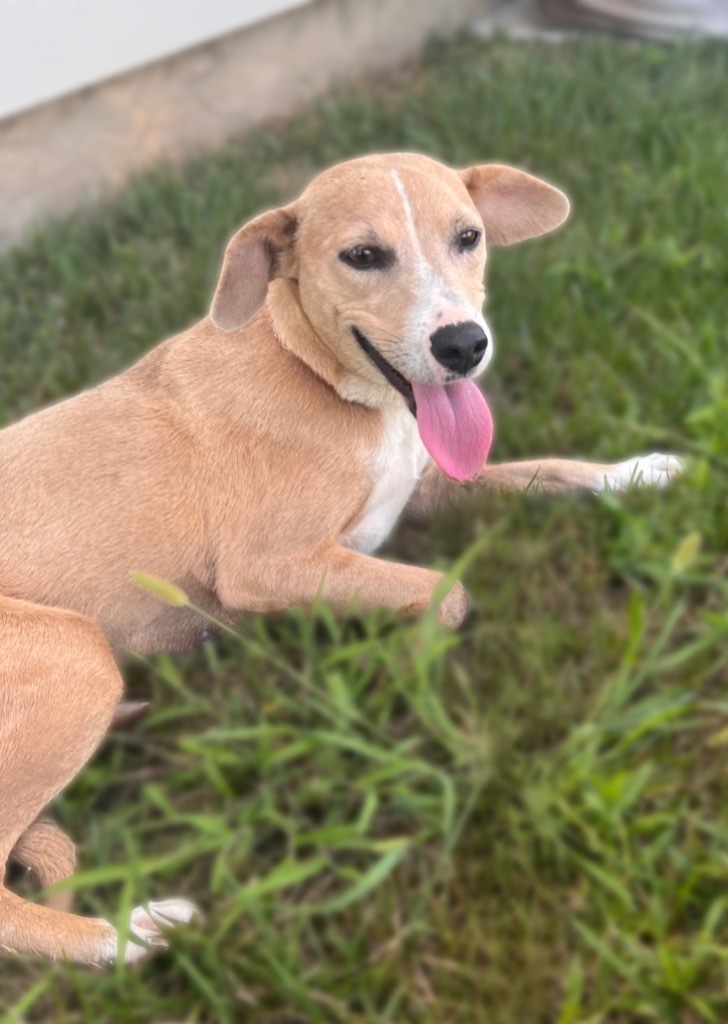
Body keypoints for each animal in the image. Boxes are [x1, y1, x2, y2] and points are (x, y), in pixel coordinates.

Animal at [1, 148, 683, 962]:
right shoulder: (268, 566)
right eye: (362, 256)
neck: (315, 373)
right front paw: (405, 672)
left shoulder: (426, 486)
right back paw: (137, 931)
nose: (464, 346)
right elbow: (446, 593)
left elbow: (549, 469)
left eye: (469, 237)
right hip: (75, 652)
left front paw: (636, 471)